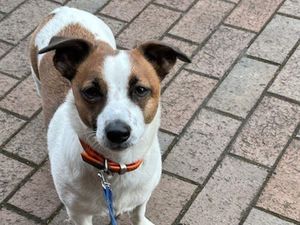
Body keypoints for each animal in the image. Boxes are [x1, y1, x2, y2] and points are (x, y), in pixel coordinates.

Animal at [29, 6, 190, 224]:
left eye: (140, 90)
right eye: (91, 91)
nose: (118, 133)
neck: (115, 165)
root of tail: (63, 9)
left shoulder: (143, 195)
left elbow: (138, 213)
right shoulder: (78, 213)